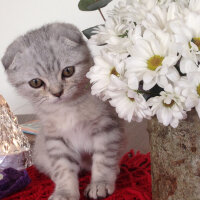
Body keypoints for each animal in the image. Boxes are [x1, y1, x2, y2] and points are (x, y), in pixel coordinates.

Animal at [1, 22, 125, 200]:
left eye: (68, 71)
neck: (68, 109)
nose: (57, 92)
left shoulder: (106, 127)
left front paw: (99, 183)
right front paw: (65, 192)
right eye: (36, 82)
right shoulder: (56, 139)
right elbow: (64, 169)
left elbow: (103, 160)